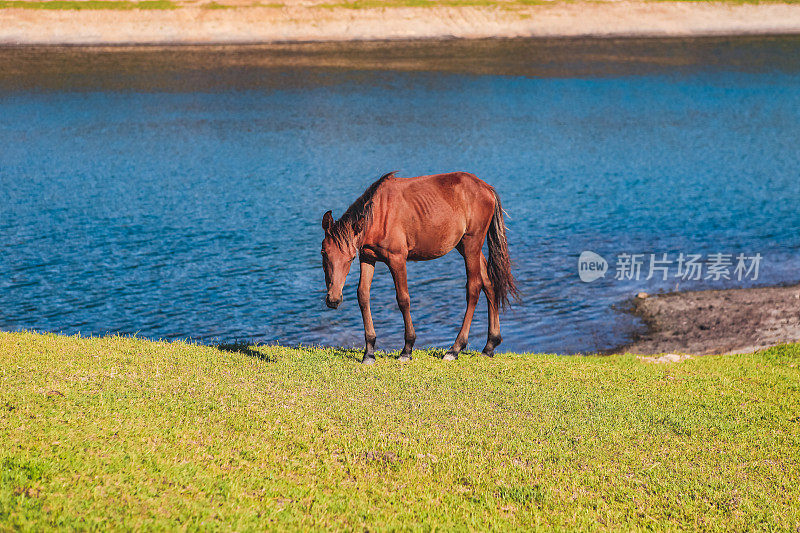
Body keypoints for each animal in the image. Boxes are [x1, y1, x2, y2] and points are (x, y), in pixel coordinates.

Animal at [320, 172, 520, 364]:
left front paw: (407, 349)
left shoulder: (397, 259)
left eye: (350, 258)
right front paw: (369, 353)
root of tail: (487, 188)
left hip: (472, 243)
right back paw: (490, 345)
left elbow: (403, 299)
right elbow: (363, 296)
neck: (378, 215)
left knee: (474, 289)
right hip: (465, 246)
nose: (333, 299)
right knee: (489, 284)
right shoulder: (368, 257)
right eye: (323, 253)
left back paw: (455, 349)